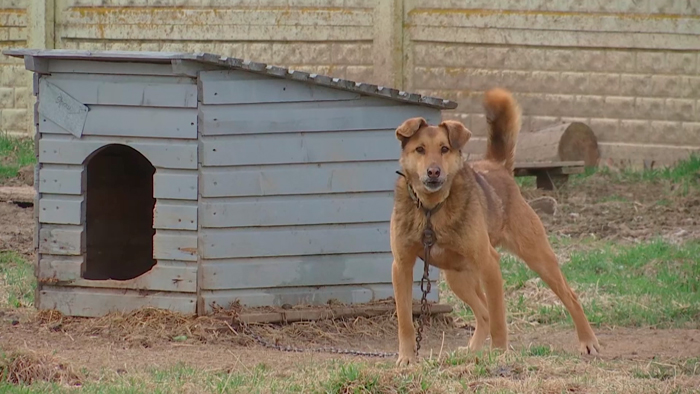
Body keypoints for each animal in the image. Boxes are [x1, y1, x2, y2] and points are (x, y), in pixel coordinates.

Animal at [392, 87, 600, 366]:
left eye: (444, 149)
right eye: (420, 149)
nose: (433, 172)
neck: (430, 209)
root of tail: (497, 166)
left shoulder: (489, 262)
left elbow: (499, 317)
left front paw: (500, 353)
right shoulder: (401, 266)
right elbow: (405, 320)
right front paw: (406, 358)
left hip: (538, 258)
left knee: (569, 298)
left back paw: (587, 341)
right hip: (457, 276)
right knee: (482, 312)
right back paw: (473, 350)